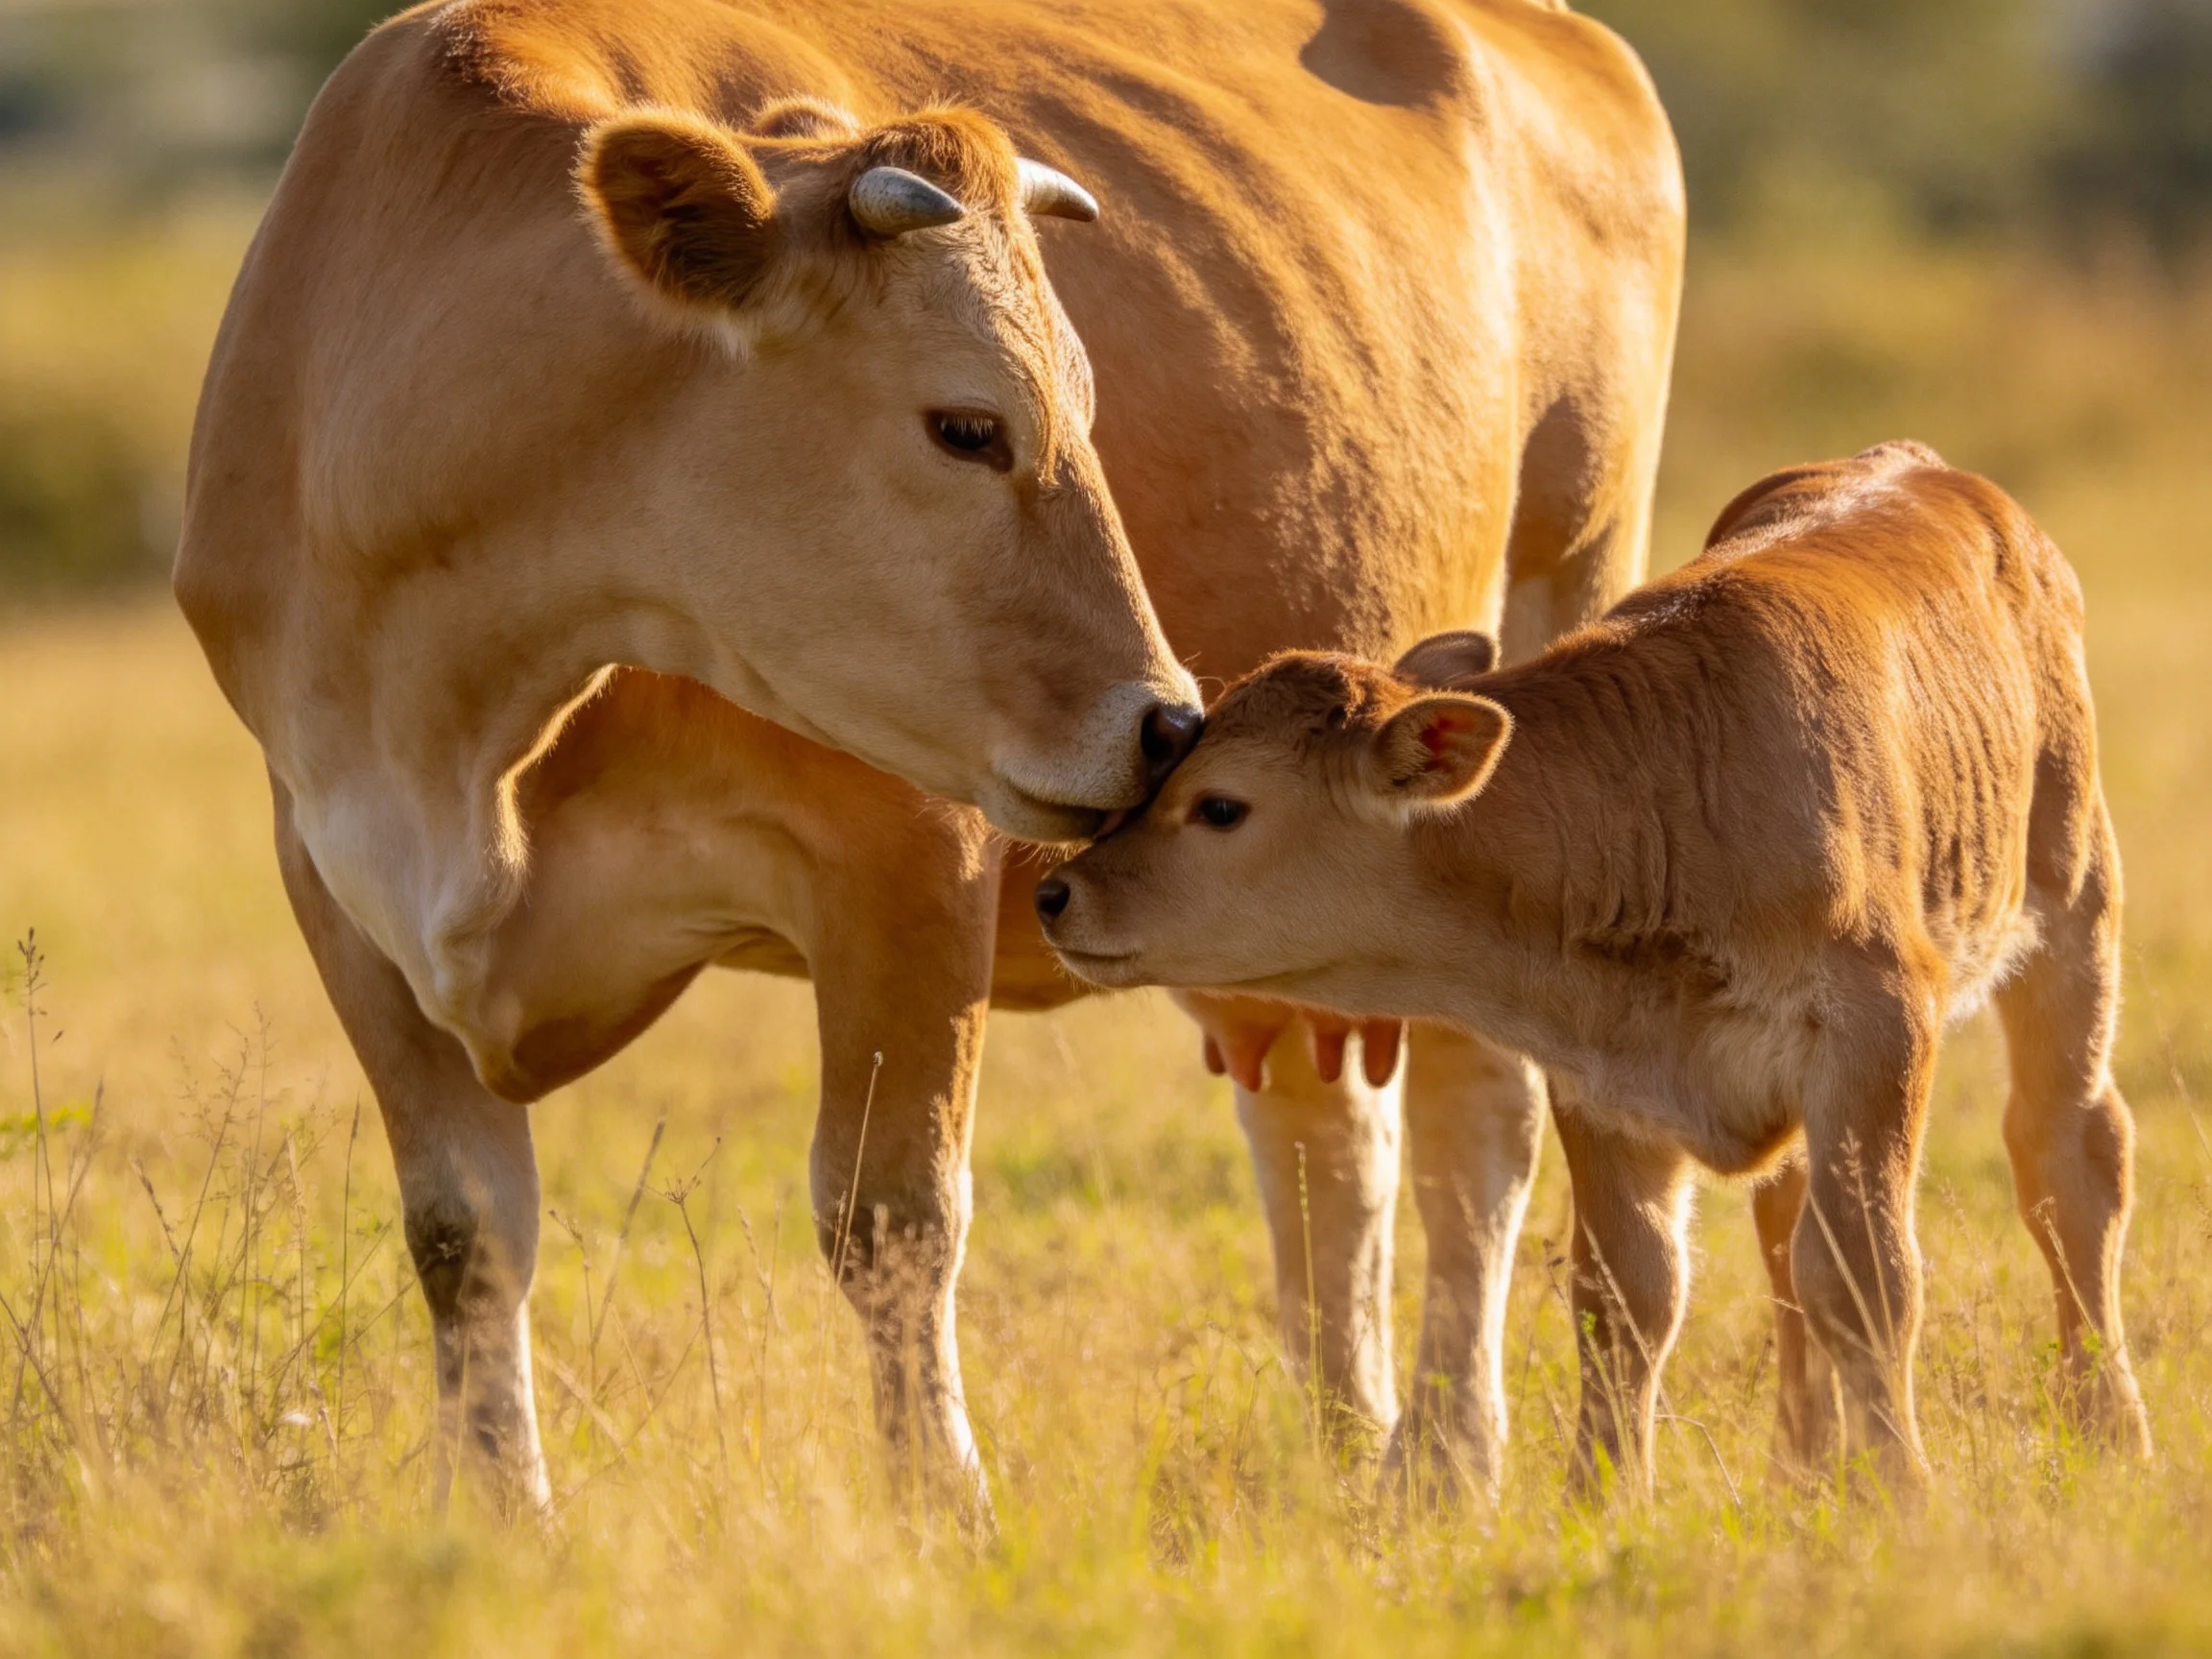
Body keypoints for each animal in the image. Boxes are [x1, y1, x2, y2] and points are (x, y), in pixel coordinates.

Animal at [174, 0, 1684, 1521]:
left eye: (1085, 405)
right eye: (969, 424)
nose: (1169, 727)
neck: (463, 735)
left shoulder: (905, 861)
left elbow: (889, 1217)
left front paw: (942, 1509)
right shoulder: (335, 874)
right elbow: (463, 1231)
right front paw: (501, 1514)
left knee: (1482, 1124)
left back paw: (1447, 1455)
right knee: (1328, 1144)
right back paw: (1349, 1446)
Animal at [1038, 443, 2154, 1495]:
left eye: (1221, 805)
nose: (1058, 892)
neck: (1669, 806)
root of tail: (1927, 469)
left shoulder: (1875, 1031)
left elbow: (1865, 1278)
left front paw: (1902, 1494)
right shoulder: (1603, 1073)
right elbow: (1628, 1295)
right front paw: (1601, 1501)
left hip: (2074, 908)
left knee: (2067, 1157)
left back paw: (2111, 1430)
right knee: (1783, 1220)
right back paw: (1802, 1468)